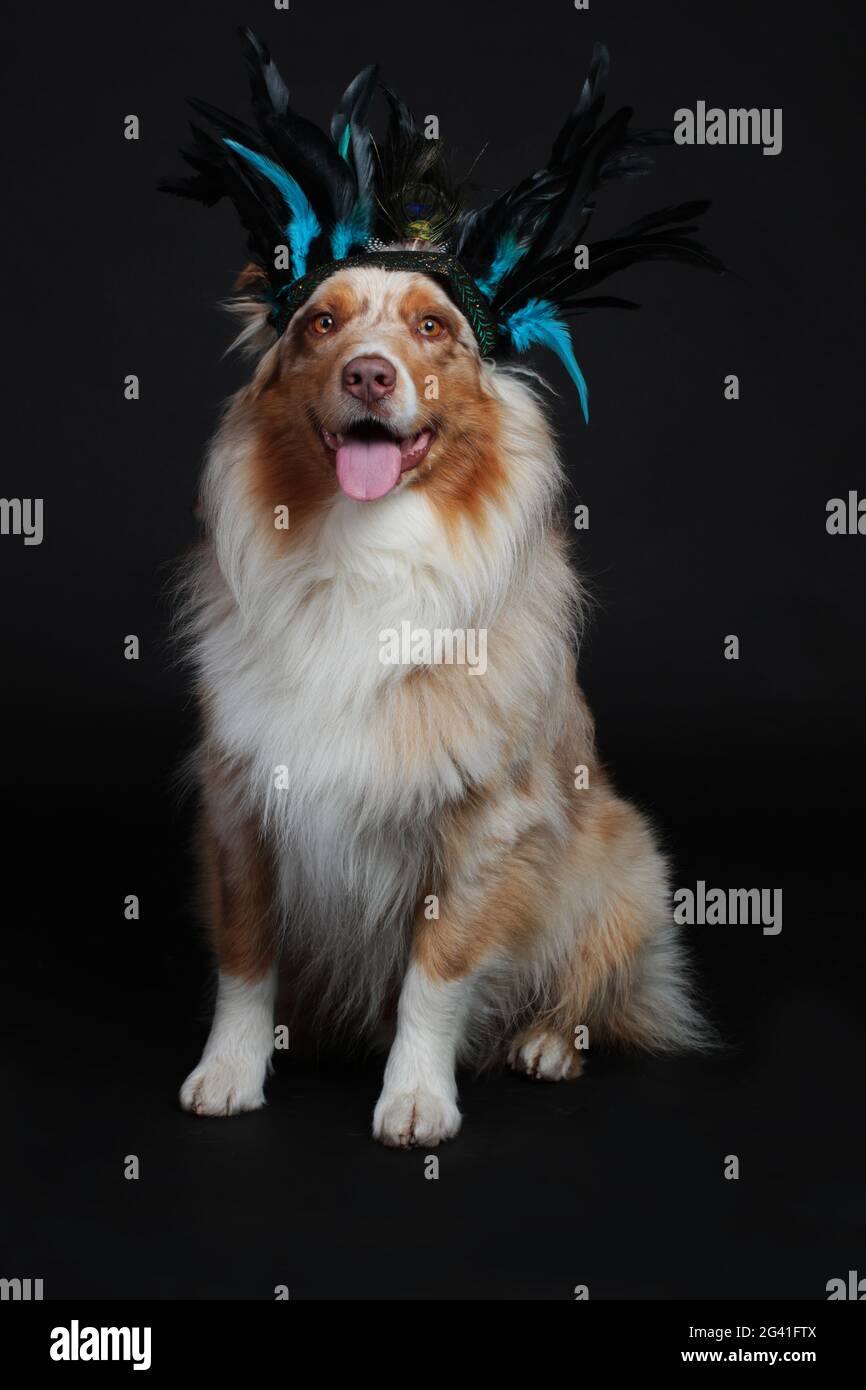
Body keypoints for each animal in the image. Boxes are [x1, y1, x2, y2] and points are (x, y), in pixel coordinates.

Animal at [177, 258, 711, 1139]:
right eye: (322, 323)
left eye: (432, 327)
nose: (368, 373)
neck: (365, 552)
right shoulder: (241, 802)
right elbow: (245, 956)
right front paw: (229, 1070)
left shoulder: (486, 822)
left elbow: (438, 972)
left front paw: (418, 1096)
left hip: (626, 866)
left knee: (598, 986)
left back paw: (548, 1043)